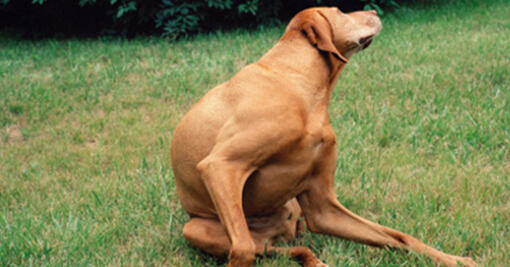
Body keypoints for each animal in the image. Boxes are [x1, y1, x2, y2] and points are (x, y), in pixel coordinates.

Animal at [172, 6, 478, 267]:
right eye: (340, 12)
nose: (373, 10)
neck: (299, 85)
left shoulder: (322, 209)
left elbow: (399, 236)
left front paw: (454, 259)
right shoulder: (220, 167)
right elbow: (242, 249)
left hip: (290, 216)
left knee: (293, 248)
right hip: (196, 227)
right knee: (256, 248)